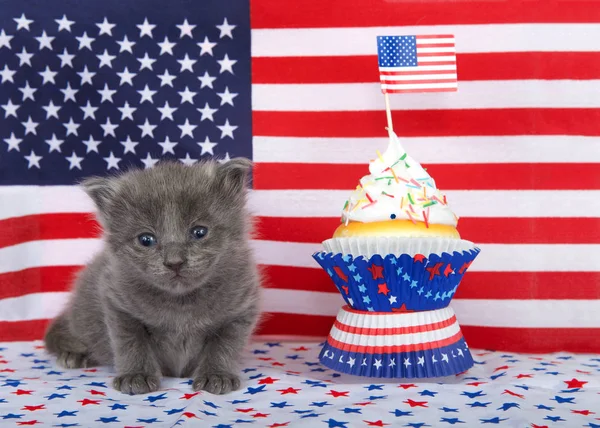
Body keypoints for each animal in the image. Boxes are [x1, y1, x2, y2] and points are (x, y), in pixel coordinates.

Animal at [44, 159, 260, 396]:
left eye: (199, 232)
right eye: (146, 239)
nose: (174, 261)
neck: (181, 303)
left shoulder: (241, 307)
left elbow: (225, 345)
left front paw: (217, 375)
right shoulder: (118, 303)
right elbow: (131, 343)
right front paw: (136, 376)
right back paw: (74, 354)